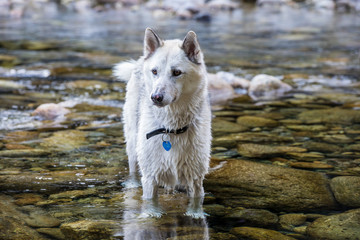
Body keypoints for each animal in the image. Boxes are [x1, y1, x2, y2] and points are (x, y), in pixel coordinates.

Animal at [114, 28, 212, 219]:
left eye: (176, 72)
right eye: (154, 71)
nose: (155, 97)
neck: (172, 128)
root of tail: (141, 60)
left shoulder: (196, 177)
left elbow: (197, 201)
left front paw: (195, 215)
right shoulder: (150, 177)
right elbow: (151, 203)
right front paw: (153, 214)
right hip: (133, 142)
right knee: (133, 166)